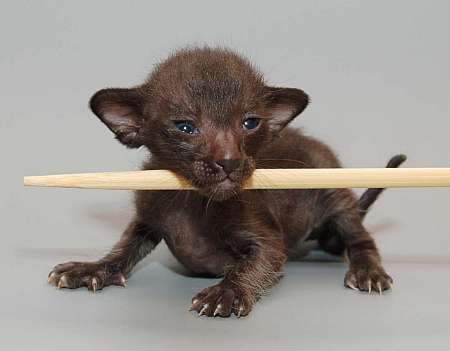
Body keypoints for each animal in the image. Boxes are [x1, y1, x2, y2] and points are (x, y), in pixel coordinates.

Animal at [47, 46, 406, 320]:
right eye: (185, 126)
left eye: (250, 123)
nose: (230, 162)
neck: (191, 202)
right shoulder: (146, 220)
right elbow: (123, 249)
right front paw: (91, 268)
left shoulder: (267, 241)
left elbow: (252, 267)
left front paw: (226, 293)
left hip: (335, 194)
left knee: (359, 237)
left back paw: (368, 272)